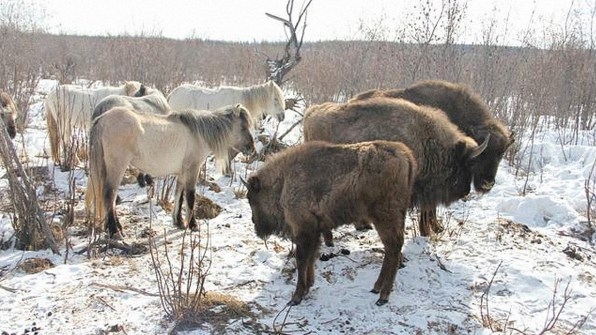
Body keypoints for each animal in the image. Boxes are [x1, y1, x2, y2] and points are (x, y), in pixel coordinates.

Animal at [86, 103, 256, 238]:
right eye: (243, 127)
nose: (252, 149)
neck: (198, 133)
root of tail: (102, 119)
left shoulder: (181, 172)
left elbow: (179, 195)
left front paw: (179, 221)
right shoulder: (192, 169)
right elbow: (190, 196)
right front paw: (193, 225)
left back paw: (116, 228)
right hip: (117, 167)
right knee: (109, 195)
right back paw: (115, 231)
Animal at [244, 140, 416, 308]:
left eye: (252, 198)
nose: (254, 222)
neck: (284, 179)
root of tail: (404, 154)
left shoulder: (304, 229)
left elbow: (302, 260)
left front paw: (296, 297)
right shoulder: (314, 231)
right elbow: (311, 258)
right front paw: (308, 286)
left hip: (384, 217)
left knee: (393, 248)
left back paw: (383, 296)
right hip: (394, 217)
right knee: (390, 249)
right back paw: (376, 288)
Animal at [352, 80, 516, 235]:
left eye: (501, 153)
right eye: (482, 155)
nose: (488, 183)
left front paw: (437, 227)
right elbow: (429, 206)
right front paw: (429, 230)